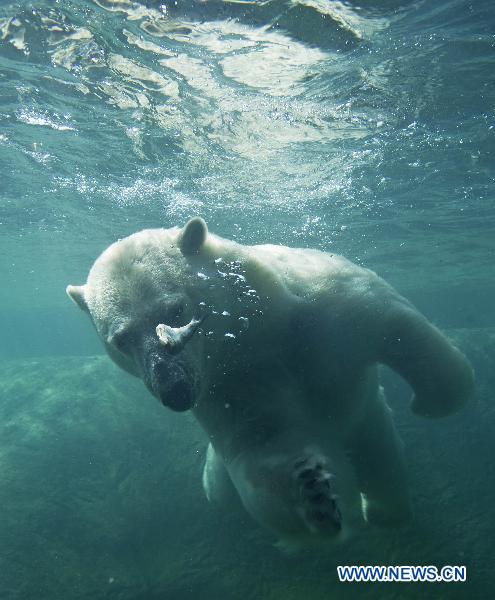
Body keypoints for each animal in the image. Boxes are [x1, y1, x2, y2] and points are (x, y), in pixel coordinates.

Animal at [68, 217, 474, 548]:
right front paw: (313, 493)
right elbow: (264, 446)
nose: (175, 391)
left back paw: (383, 512)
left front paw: (433, 400)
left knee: (381, 461)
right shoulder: (233, 387)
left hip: (367, 418)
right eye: (121, 340)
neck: (258, 326)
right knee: (221, 490)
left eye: (176, 310)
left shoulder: (322, 308)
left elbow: (395, 324)